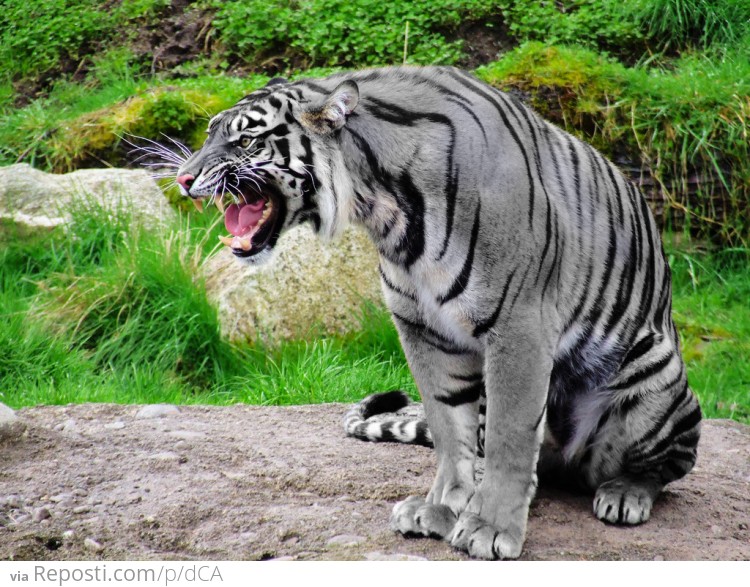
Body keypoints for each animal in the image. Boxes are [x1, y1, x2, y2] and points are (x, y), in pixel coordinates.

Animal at [173, 65, 704, 560]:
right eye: (210, 134)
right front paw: (444, 508)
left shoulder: (520, 325)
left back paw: (625, 495)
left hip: (656, 370)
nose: (183, 178)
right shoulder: (424, 329)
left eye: (245, 139)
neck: (386, 210)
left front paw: (490, 528)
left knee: (666, 466)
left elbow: (512, 435)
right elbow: (449, 427)